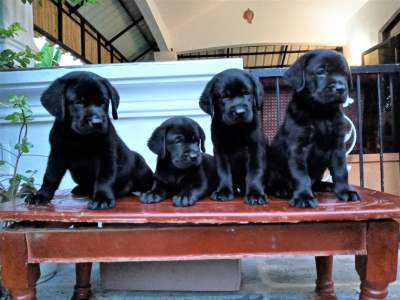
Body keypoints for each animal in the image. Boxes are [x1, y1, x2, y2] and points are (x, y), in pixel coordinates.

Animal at [25, 71, 153, 210]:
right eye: (78, 102)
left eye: (104, 102)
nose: (97, 122)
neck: (80, 138)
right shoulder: (57, 154)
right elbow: (50, 176)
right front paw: (41, 195)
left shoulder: (106, 155)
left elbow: (104, 178)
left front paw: (102, 198)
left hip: (140, 167)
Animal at [198, 68, 268, 205]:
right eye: (224, 96)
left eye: (246, 93)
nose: (240, 112)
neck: (236, 129)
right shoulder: (220, 149)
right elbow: (223, 171)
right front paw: (223, 191)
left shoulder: (256, 147)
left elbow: (255, 170)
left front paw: (255, 194)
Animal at [268, 49, 360, 209]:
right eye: (321, 71)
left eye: (344, 73)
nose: (341, 88)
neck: (320, 113)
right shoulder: (298, 148)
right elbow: (301, 175)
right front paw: (303, 197)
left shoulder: (337, 147)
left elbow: (341, 171)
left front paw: (345, 191)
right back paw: (282, 190)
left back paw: (326, 185)